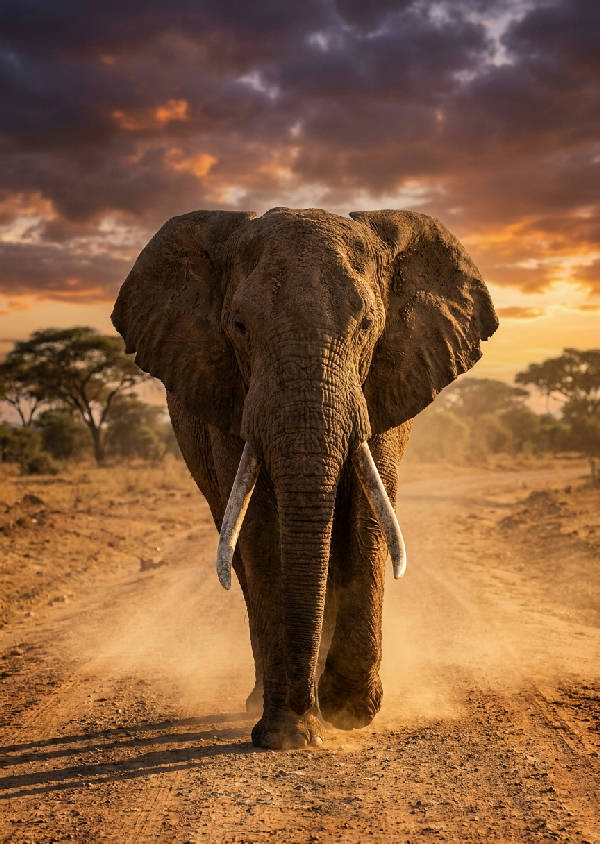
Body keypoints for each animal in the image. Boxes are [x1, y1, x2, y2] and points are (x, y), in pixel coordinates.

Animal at [111, 207, 498, 749]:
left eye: (368, 324)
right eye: (240, 325)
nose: (305, 715)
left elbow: (366, 516)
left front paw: (347, 711)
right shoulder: (232, 397)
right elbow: (260, 527)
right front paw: (290, 734)